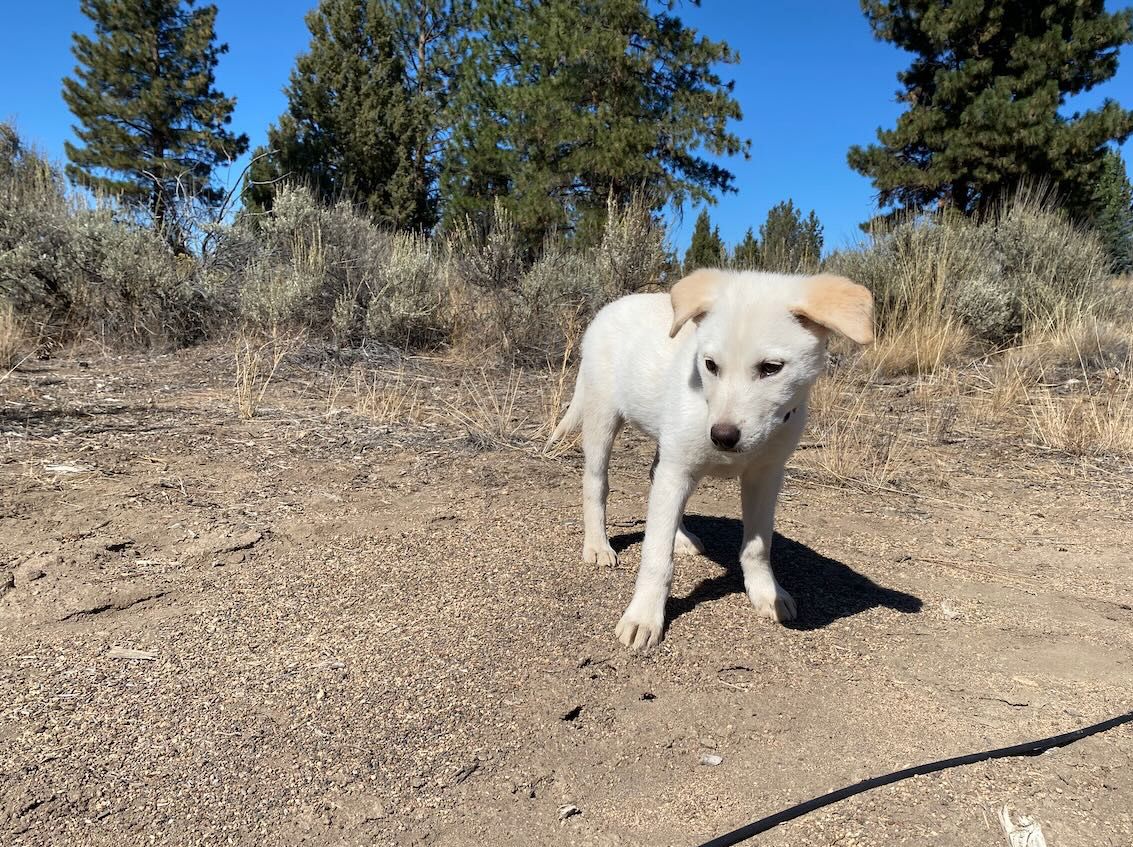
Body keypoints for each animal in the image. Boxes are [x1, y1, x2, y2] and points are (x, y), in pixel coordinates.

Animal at [543, 269, 870, 647]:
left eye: (772, 368)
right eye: (710, 365)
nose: (722, 437)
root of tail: (611, 306)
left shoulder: (765, 476)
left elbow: (758, 546)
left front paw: (765, 592)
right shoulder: (678, 469)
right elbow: (656, 556)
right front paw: (644, 616)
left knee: (655, 478)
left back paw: (681, 537)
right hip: (603, 417)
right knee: (596, 483)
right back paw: (598, 545)